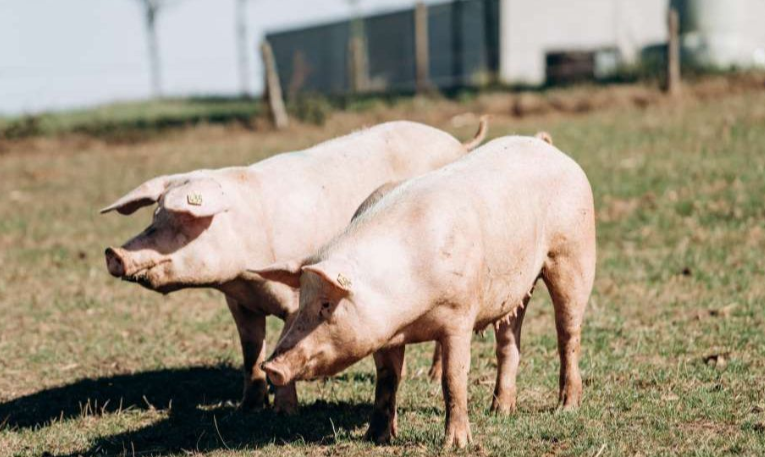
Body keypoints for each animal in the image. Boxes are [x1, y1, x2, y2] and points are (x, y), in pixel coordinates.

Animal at [101, 119, 486, 412]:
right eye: (155, 215)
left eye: (181, 220)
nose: (114, 254)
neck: (244, 273)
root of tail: (457, 142)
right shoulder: (238, 303)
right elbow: (250, 352)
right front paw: (250, 406)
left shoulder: (292, 298)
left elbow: (283, 341)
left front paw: (285, 411)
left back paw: (433, 375)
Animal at [256, 134, 596, 448]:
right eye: (303, 301)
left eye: (327, 304)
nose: (270, 366)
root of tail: (547, 146)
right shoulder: (384, 333)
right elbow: (387, 379)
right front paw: (376, 438)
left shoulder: (460, 314)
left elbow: (453, 378)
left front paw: (455, 444)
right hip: (515, 287)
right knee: (509, 343)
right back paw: (500, 411)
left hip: (574, 253)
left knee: (568, 333)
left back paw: (565, 407)